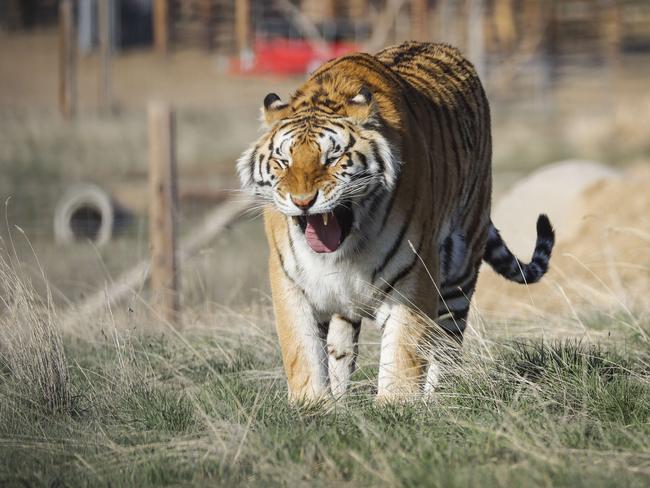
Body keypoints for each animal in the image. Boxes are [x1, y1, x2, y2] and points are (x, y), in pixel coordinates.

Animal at [237, 41, 552, 400]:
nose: (303, 202)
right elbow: (302, 352)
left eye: (332, 158)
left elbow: (403, 352)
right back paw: (342, 400)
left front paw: (396, 405)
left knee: (448, 345)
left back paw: (437, 399)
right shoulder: (291, 282)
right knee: (342, 346)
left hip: (461, 267)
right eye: (283, 160)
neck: (345, 250)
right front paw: (314, 404)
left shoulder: (413, 275)